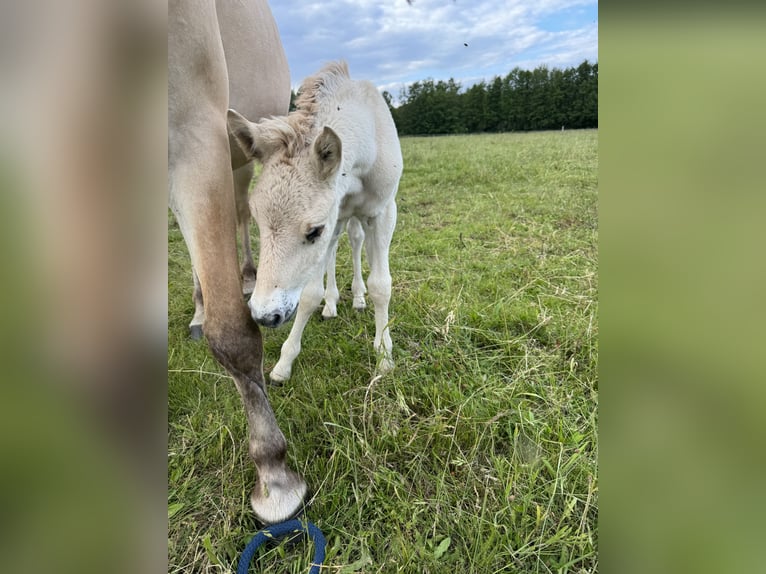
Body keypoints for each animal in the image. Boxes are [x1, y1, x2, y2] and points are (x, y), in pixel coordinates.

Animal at [170, 0, 308, 524]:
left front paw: (274, 475)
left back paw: (248, 276)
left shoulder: (191, 131)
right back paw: (198, 307)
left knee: (243, 213)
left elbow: (232, 332)